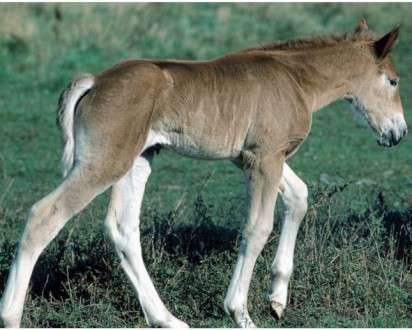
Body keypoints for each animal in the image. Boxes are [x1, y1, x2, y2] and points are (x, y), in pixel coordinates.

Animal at [0, 20, 406, 328]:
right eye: (394, 81)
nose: (398, 133)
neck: (295, 79)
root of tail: (95, 81)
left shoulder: (251, 157)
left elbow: (299, 196)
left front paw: (277, 299)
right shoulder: (264, 157)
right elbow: (257, 227)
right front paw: (240, 313)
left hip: (138, 160)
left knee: (122, 228)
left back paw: (167, 319)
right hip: (105, 163)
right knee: (44, 215)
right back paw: (11, 316)